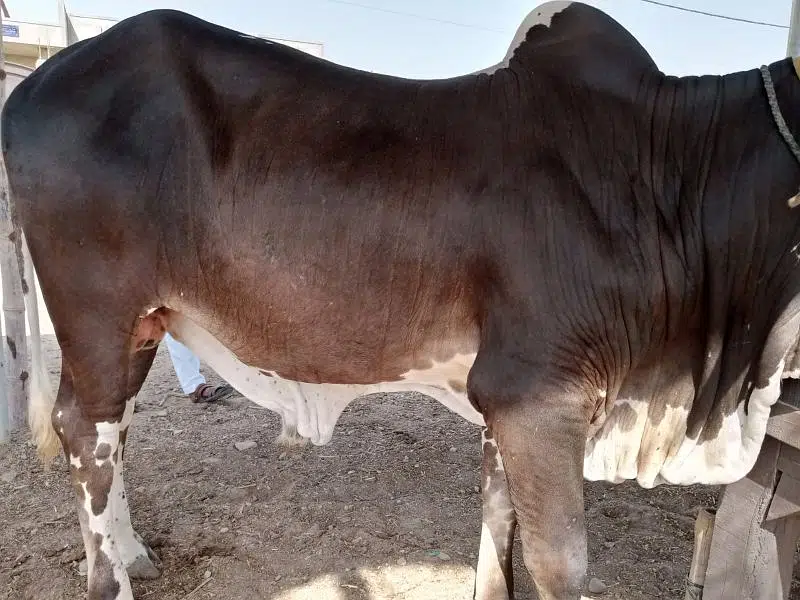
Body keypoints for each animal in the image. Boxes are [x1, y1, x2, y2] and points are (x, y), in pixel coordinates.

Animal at [6, 1, 800, 598]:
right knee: (86, 430)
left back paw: (129, 553)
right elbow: (560, 567)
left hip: (142, 324)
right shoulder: (539, 393)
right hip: (96, 314)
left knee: (111, 430)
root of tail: (37, 81)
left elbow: (496, 528)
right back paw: (109, 580)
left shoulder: (508, 404)